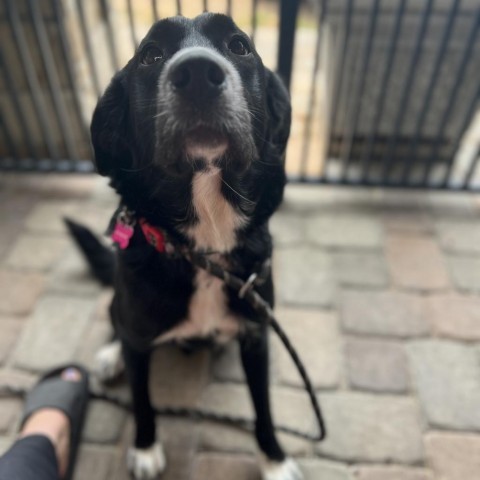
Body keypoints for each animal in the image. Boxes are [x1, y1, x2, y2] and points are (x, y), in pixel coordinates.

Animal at [71, 12, 298, 480]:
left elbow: (263, 407)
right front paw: (144, 449)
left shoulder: (256, 334)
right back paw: (110, 354)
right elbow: (142, 400)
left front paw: (275, 459)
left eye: (239, 46)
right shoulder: (139, 339)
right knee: (114, 316)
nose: (197, 74)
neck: (203, 247)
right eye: (150, 55)